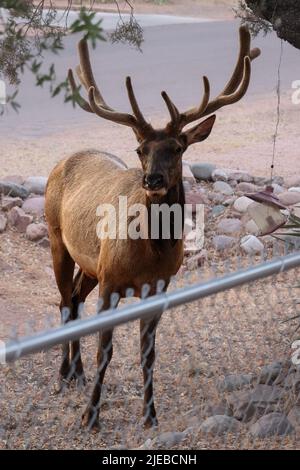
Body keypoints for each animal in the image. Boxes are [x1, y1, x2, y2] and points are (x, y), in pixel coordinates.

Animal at [45, 24, 260, 430]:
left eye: (178, 148)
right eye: (140, 150)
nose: (153, 179)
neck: (148, 252)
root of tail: (64, 160)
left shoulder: (158, 287)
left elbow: (148, 354)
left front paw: (150, 416)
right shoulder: (111, 281)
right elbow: (105, 350)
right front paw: (91, 417)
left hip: (91, 264)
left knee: (75, 298)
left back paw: (76, 374)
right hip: (56, 238)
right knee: (64, 301)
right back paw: (64, 376)